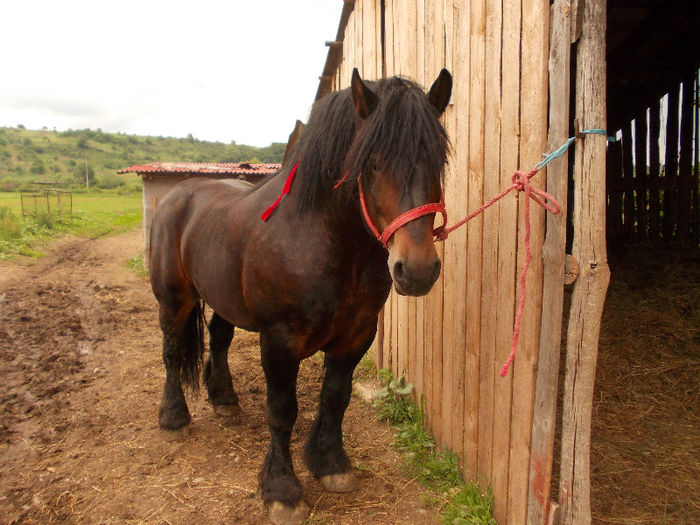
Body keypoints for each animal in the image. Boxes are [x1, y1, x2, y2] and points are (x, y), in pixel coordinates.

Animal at [150, 69, 452, 524]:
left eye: (439, 161)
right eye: (372, 162)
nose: (416, 270)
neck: (325, 241)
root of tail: (177, 195)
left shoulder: (355, 337)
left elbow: (335, 397)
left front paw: (330, 463)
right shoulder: (279, 341)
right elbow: (282, 410)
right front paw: (282, 490)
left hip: (222, 297)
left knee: (218, 340)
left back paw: (225, 400)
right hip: (173, 298)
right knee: (170, 352)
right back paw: (174, 417)